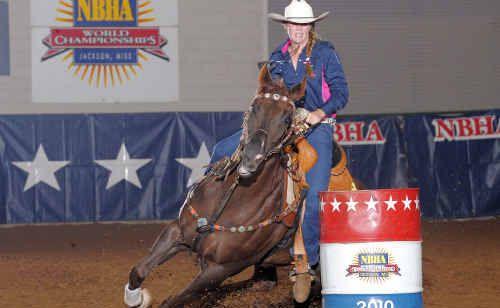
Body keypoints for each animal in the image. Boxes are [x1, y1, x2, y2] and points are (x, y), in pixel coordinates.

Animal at [124, 66, 360, 306]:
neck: (235, 200)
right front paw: (135, 298)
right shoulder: (176, 232)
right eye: (254, 107)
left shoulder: (221, 269)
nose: (251, 158)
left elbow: (174, 301)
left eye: (287, 118)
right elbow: (138, 271)